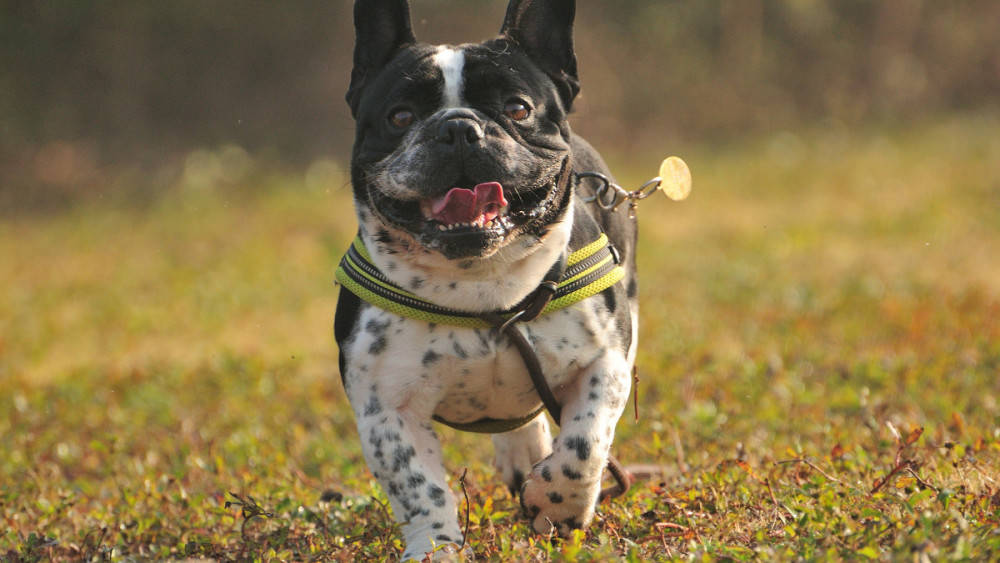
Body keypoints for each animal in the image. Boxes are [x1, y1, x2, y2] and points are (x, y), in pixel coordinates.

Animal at [332, 0, 636, 556]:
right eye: (400, 117)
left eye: (517, 109)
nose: (457, 128)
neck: (481, 284)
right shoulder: (386, 406)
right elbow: (416, 483)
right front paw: (436, 548)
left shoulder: (607, 361)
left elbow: (585, 441)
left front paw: (559, 503)